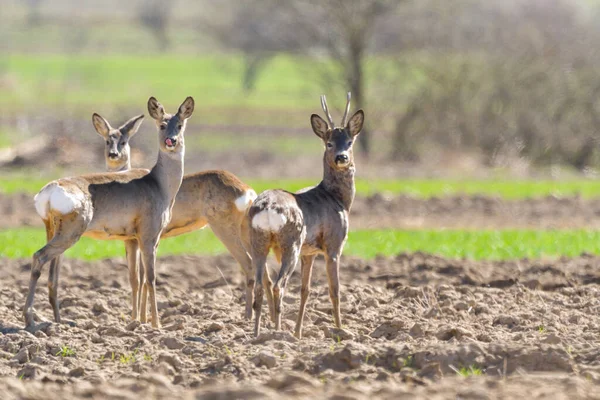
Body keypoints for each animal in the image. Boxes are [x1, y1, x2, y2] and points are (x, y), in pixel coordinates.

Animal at [25, 96, 193, 328]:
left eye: (180, 125)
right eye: (161, 124)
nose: (171, 141)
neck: (158, 184)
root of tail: (50, 191)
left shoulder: (133, 239)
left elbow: (136, 278)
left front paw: (137, 321)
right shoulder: (149, 236)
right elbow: (150, 278)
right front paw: (156, 325)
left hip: (53, 231)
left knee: (53, 275)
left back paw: (57, 322)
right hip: (70, 234)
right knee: (38, 257)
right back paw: (30, 320)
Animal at [92, 111, 262, 324]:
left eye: (124, 141)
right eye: (107, 141)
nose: (113, 155)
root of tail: (248, 192)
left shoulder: (146, 237)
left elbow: (144, 278)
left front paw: (142, 320)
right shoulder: (134, 239)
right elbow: (136, 278)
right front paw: (138, 319)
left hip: (224, 227)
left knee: (248, 263)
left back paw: (246, 317)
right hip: (245, 231)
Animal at [246, 93, 364, 338]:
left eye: (349, 142)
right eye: (329, 143)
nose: (342, 157)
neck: (337, 199)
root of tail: (267, 207)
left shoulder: (308, 253)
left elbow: (305, 290)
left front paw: (299, 333)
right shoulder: (333, 245)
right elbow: (334, 290)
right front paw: (341, 330)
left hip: (257, 241)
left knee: (261, 284)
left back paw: (258, 334)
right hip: (291, 242)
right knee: (278, 285)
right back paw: (277, 332)